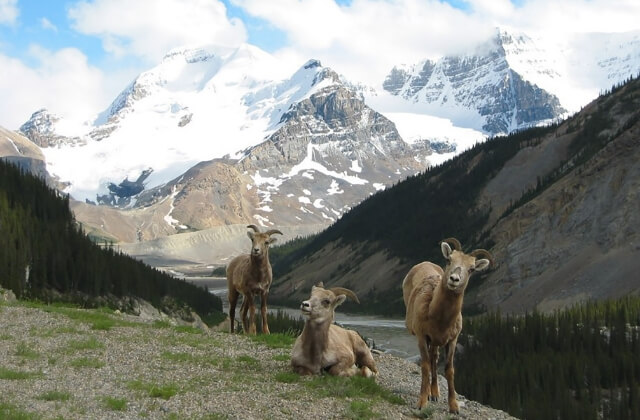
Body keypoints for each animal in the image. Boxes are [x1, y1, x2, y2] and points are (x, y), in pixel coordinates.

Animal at [402, 238, 492, 412]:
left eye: (471, 269)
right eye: (449, 259)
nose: (454, 279)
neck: (439, 319)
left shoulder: (452, 340)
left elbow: (449, 370)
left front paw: (454, 407)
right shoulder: (422, 337)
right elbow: (424, 366)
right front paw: (421, 402)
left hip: (436, 343)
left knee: (434, 358)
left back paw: (435, 394)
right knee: (431, 361)